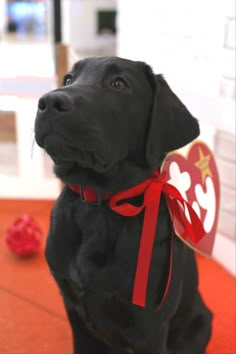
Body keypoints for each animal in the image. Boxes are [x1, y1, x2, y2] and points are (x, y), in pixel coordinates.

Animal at [34, 56, 212, 354]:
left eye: (119, 84)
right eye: (68, 78)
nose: (49, 101)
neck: (98, 204)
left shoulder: (149, 327)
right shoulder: (74, 308)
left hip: (200, 323)